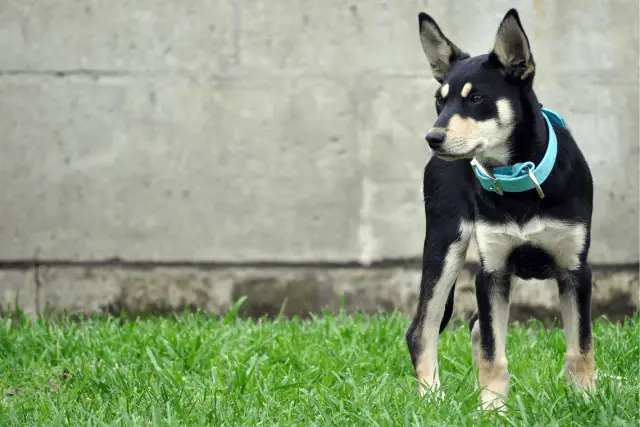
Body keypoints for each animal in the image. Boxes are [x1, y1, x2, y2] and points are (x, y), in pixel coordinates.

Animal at [408, 8, 596, 412]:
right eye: (440, 101)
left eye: (477, 97)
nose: (432, 137)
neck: (519, 179)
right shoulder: (491, 272)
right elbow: (494, 354)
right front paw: (493, 409)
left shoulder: (576, 270)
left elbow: (580, 346)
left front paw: (587, 398)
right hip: (445, 244)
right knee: (422, 331)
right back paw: (433, 399)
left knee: (476, 328)